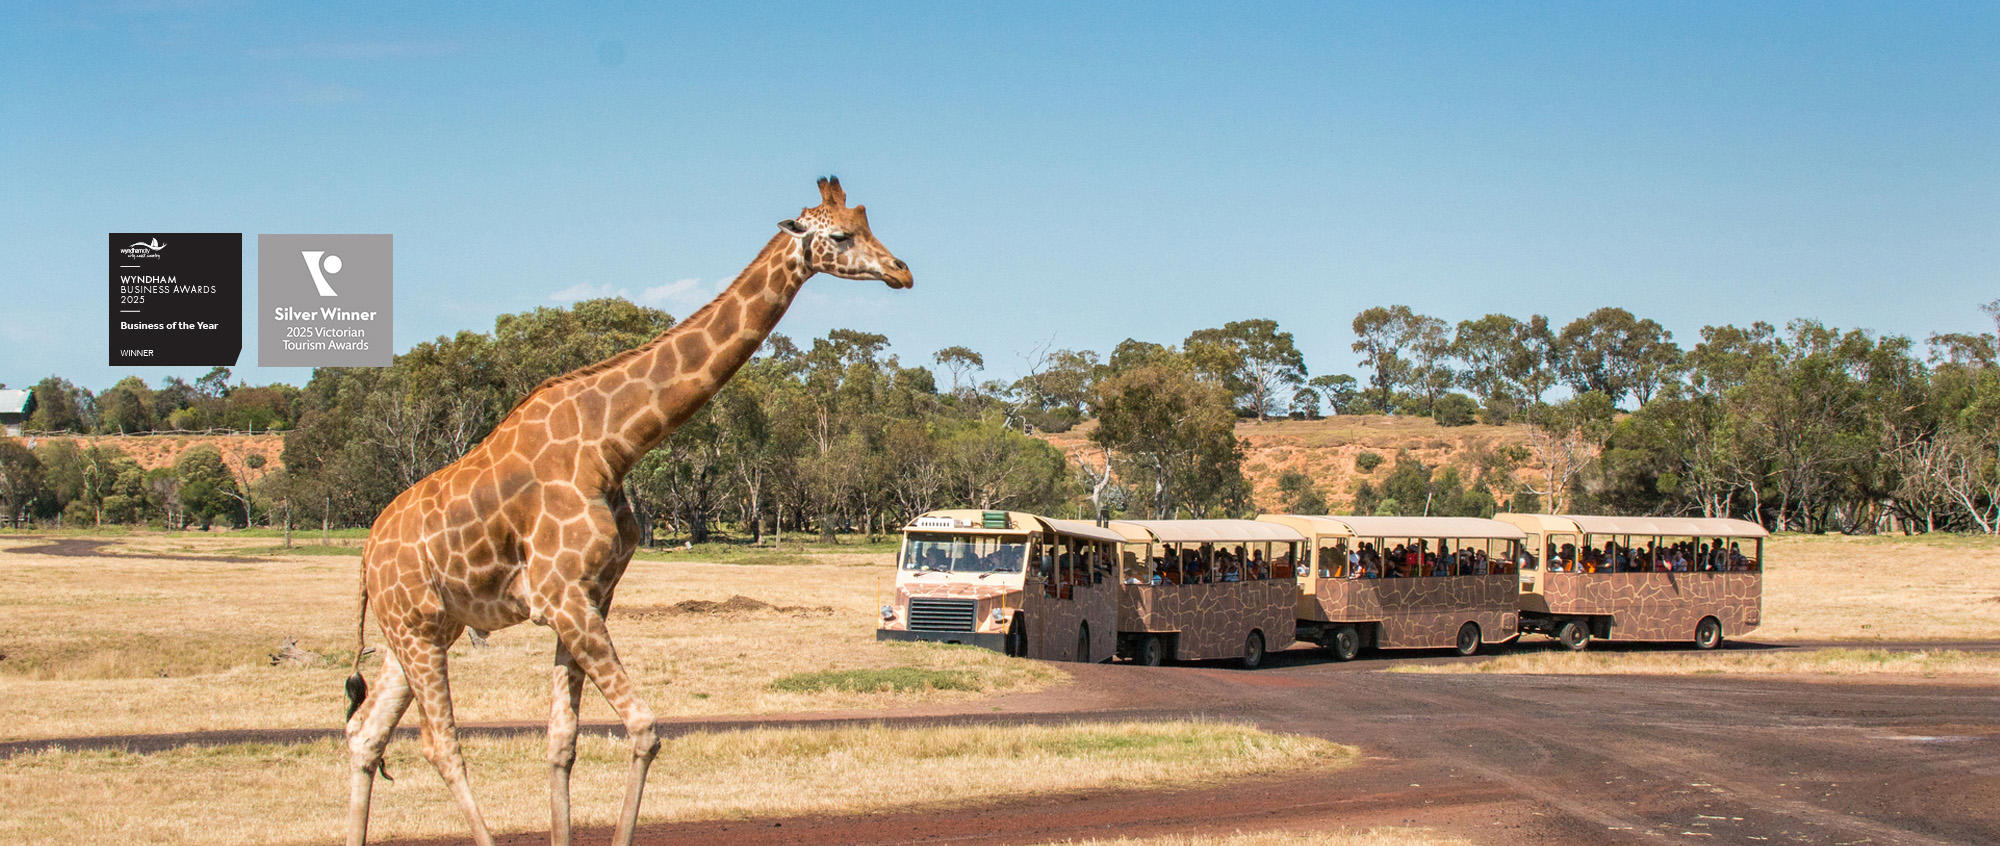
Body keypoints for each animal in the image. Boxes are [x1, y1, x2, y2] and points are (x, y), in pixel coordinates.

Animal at [342, 176, 912, 846]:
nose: (902, 271)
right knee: (439, 745)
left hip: (421, 630)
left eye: (869, 225)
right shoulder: (563, 597)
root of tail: (365, 556)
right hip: (417, 628)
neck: (611, 444)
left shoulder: (592, 595)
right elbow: (644, 728)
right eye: (842, 235)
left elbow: (561, 741)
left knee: (364, 735)